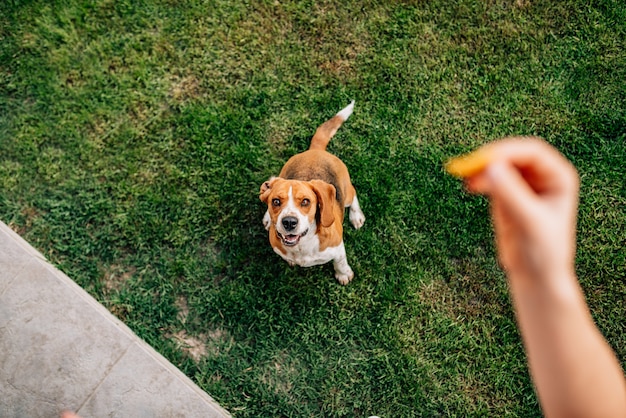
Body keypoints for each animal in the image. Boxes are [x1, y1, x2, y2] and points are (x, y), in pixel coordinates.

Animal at [260, 101, 366, 284]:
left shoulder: (338, 247)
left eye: (305, 201)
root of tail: (316, 150)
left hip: (346, 193)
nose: (289, 222)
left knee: (353, 195)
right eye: (276, 201)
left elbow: (340, 262)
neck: (302, 245)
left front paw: (343, 274)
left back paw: (356, 216)